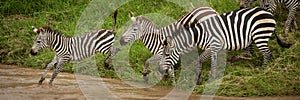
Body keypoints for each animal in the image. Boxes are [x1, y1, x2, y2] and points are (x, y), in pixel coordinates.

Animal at [161, 7, 292, 84]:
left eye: (167, 54)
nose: (160, 70)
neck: (200, 34)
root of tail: (269, 14)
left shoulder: (214, 45)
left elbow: (210, 62)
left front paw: (210, 79)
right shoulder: (211, 48)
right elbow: (203, 60)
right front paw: (200, 78)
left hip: (260, 35)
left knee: (267, 54)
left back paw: (262, 70)